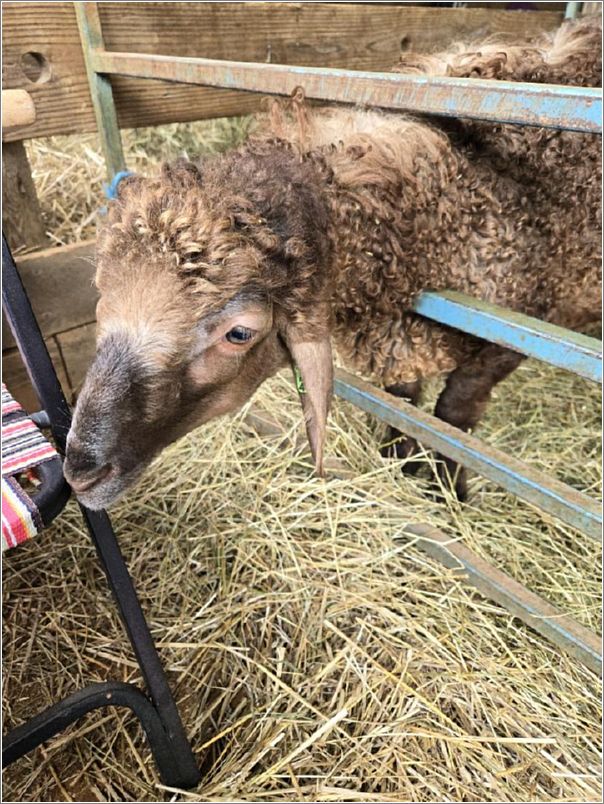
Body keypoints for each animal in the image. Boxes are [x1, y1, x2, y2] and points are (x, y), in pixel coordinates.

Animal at [63, 15, 600, 508]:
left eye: (239, 333)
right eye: (101, 297)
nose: (80, 471)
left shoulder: (519, 331)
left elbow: (455, 414)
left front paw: (447, 491)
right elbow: (403, 400)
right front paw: (396, 461)